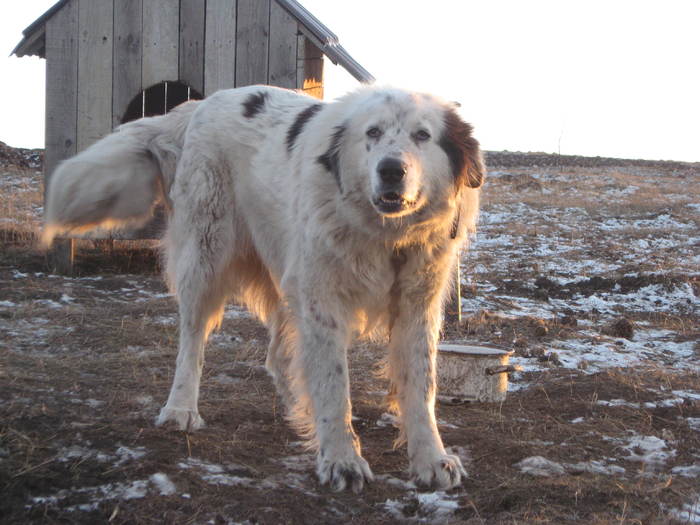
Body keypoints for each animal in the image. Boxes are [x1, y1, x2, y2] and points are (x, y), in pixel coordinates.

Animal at [42, 85, 482, 492]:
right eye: (372, 132)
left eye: (423, 135)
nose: (391, 170)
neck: (386, 238)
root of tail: (200, 104)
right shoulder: (322, 299)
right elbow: (333, 383)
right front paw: (341, 459)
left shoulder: (416, 305)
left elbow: (420, 386)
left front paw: (431, 459)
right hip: (207, 257)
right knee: (192, 340)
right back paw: (181, 407)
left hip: (286, 270)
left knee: (279, 357)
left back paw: (299, 409)